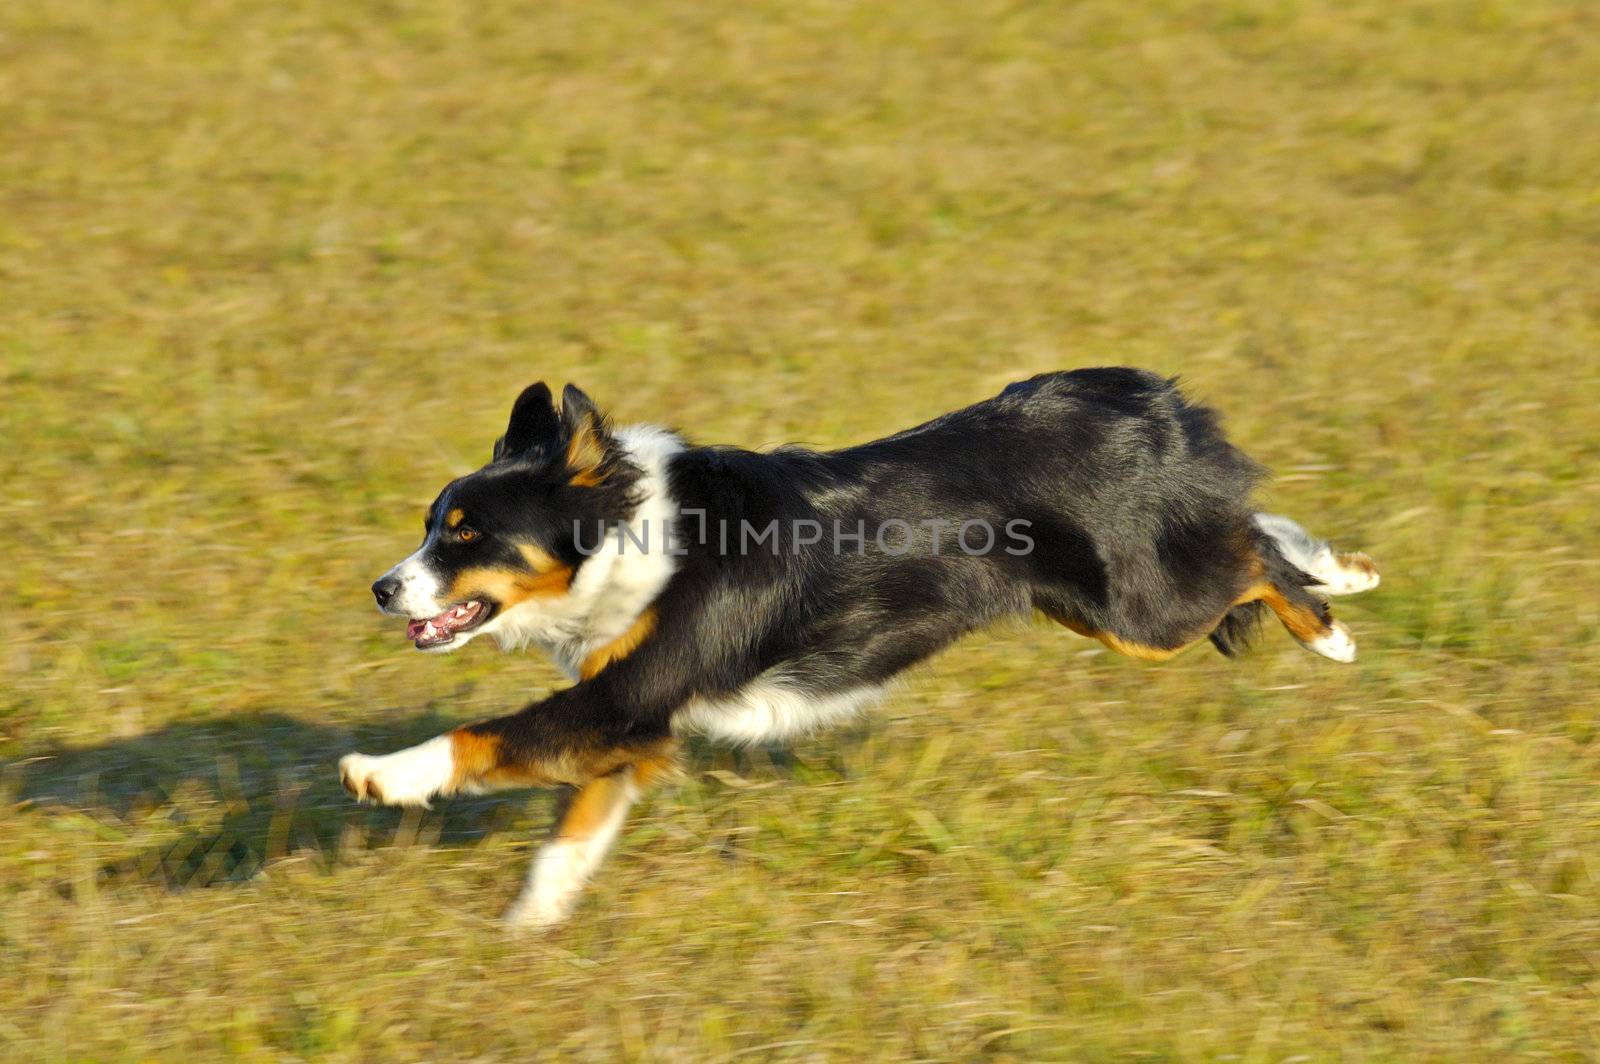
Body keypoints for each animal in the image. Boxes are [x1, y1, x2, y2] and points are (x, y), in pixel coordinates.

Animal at [337, 369, 1376, 928]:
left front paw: (383, 774)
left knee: (1251, 552)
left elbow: (483, 735)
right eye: (430, 526)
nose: (382, 588)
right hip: (1106, 603)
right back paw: (1341, 575)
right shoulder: (633, 718)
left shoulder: (621, 698)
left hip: (1141, 612)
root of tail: (1149, 397)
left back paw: (1337, 614)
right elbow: (572, 837)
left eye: (465, 535)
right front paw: (530, 927)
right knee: (1247, 525)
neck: (631, 535)